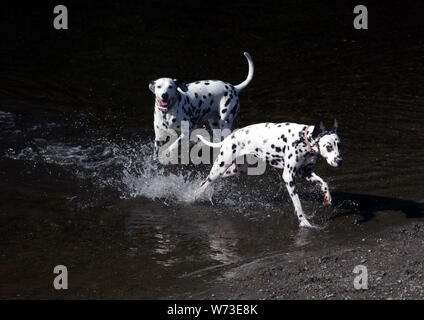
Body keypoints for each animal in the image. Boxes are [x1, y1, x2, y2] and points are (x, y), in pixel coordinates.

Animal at [197, 120, 342, 228]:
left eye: (339, 145)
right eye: (329, 146)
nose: (340, 161)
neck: (302, 138)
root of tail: (229, 137)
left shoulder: (306, 172)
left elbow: (324, 183)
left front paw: (327, 197)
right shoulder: (288, 177)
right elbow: (298, 203)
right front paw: (304, 221)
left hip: (235, 170)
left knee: (209, 181)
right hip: (220, 167)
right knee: (204, 184)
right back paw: (196, 196)